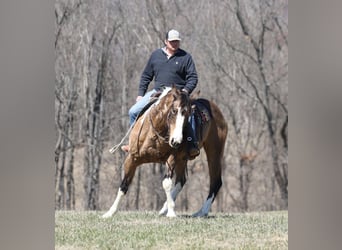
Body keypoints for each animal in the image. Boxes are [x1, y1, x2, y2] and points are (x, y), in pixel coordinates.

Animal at [103, 86, 227, 219]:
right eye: (173, 111)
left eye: (188, 114)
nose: (176, 141)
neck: (154, 134)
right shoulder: (132, 158)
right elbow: (124, 185)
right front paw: (110, 212)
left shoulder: (171, 158)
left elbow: (166, 183)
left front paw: (172, 212)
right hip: (183, 158)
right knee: (181, 180)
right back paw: (164, 209)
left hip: (214, 152)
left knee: (215, 181)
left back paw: (201, 212)